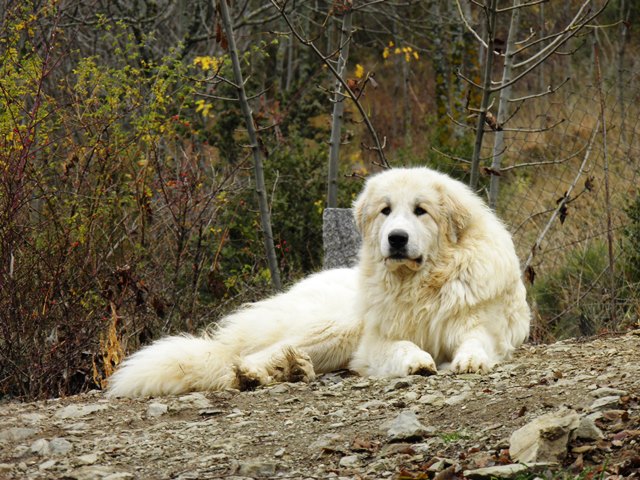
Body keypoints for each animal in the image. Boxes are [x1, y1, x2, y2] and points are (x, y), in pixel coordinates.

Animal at [109, 167, 528, 396]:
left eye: (420, 211)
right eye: (386, 210)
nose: (396, 239)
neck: (421, 283)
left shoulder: (479, 325)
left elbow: (477, 342)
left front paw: (470, 360)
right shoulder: (374, 342)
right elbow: (402, 346)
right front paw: (417, 361)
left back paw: (293, 370)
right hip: (337, 326)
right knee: (244, 356)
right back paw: (255, 374)